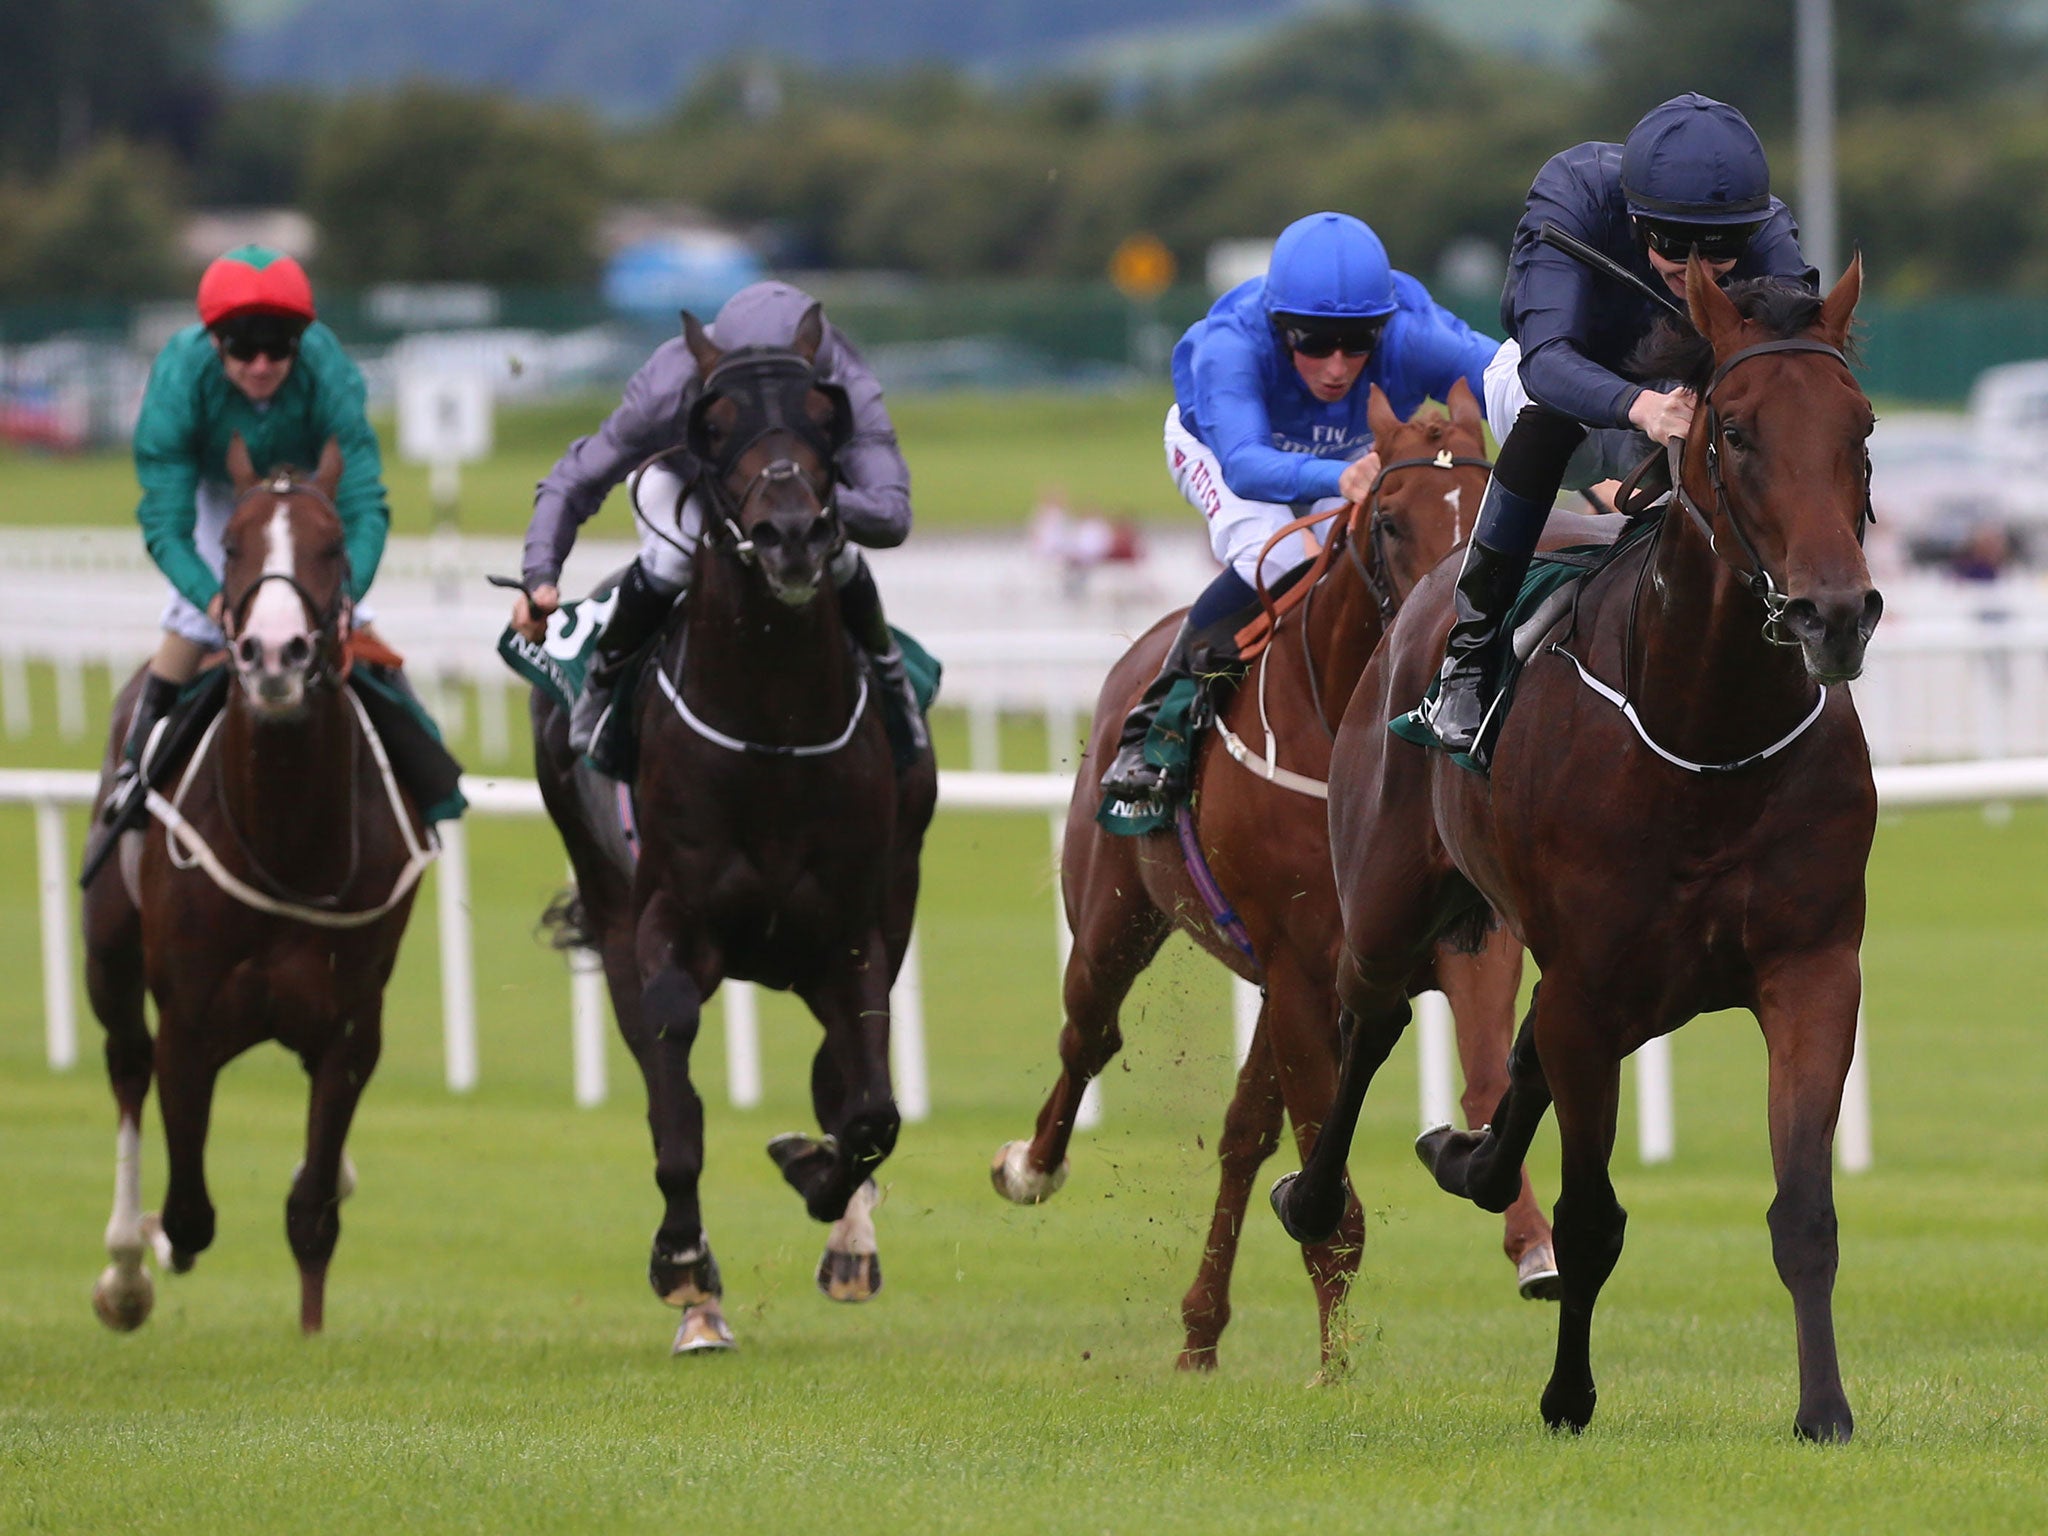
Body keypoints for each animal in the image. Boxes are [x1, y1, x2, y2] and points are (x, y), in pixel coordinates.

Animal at [86, 438, 434, 1343]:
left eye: (333, 546)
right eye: (233, 545)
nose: (275, 654)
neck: (287, 843)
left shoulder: (350, 1026)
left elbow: (311, 1210)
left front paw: (310, 1333)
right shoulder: (188, 1021)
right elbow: (189, 1215)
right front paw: (149, 1248)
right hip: (108, 957)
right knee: (125, 1066)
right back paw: (124, 1267)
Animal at [532, 303, 937, 1359]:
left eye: (825, 414)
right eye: (712, 423)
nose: (791, 532)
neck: (772, 731)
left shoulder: (853, 935)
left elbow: (868, 1109)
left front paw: (821, 1185)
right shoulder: (667, 921)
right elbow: (675, 1086)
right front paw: (683, 1265)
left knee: (843, 1079)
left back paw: (847, 1236)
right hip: (609, 901)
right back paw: (701, 1300)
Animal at [991, 382, 1548, 1368]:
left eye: (1489, 507)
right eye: (1391, 521)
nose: (1456, 621)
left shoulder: (1463, 947)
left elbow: (1483, 1083)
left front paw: (1530, 1244)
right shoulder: (1301, 970)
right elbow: (1331, 1193)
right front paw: (1336, 1372)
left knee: (1241, 1135)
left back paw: (1199, 1332)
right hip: (1113, 920)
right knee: (1089, 1035)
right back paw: (1032, 1166)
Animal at [1277, 256, 1884, 1441]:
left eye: (1862, 425)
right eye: (1733, 431)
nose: (1832, 614)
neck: (1707, 736)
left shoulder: (1810, 967)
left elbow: (1803, 1209)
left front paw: (1824, 1410)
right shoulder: (1594, 989)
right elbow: (1592, 1215)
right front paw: (1568, 1394)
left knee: (1512, 1057)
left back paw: (1462, 1157)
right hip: (1385, 899)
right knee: (1371, 1018)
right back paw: (1314, 1195)